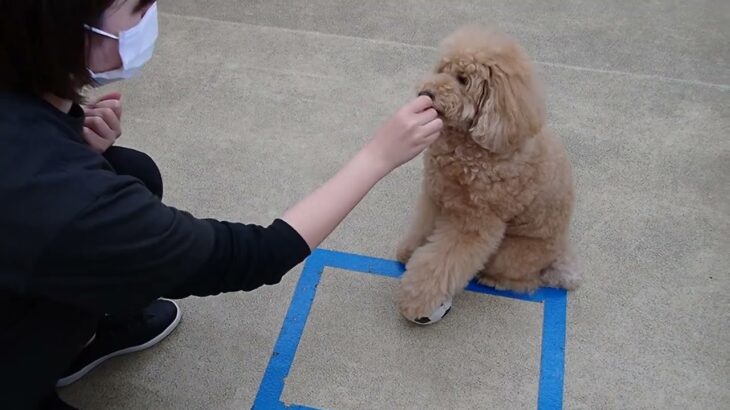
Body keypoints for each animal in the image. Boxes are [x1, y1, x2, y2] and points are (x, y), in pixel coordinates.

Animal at [396, 25, 576, 322]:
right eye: (442, 69)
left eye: (463, 79)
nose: (426, 93)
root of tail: (559, 256)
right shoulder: (436, 194)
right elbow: (423, 229)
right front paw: (409, 251)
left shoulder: (475, 223)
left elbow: (441, 262)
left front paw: (417, 300)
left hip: (511, 255)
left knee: (526, 282)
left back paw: (494, 280)